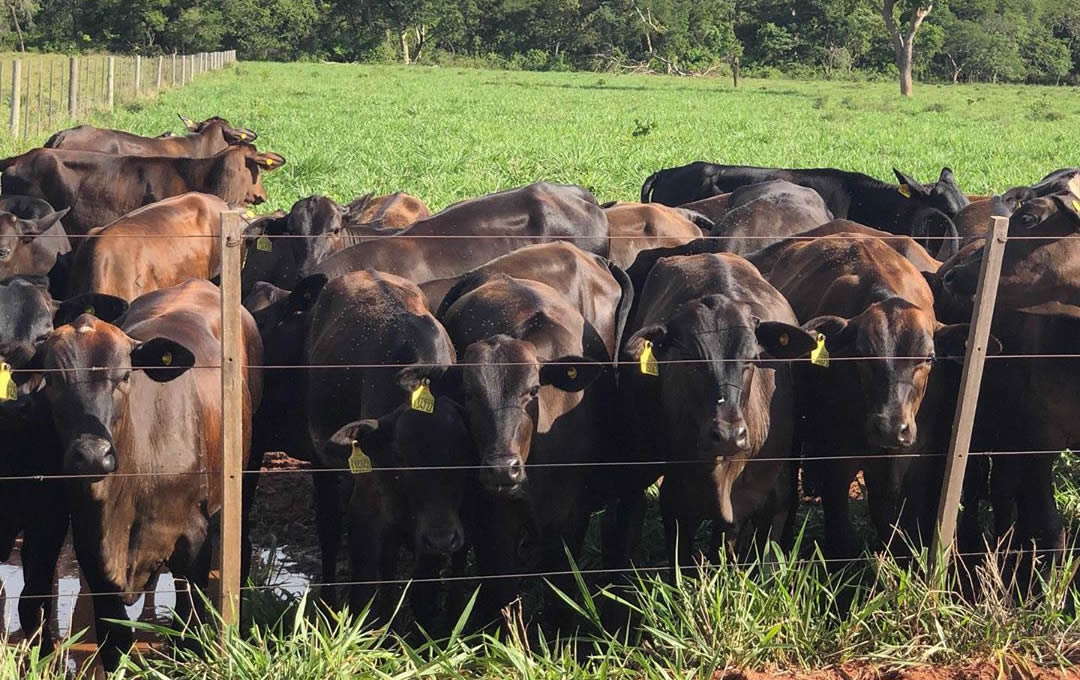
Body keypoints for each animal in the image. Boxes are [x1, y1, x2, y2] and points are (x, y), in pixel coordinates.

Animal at [21, 280, 261, 673]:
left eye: (124, 375)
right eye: (53, 380)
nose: (92, 454)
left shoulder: (193, 539)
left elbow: (190, 629)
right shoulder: (91, 548)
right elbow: (115, 642)